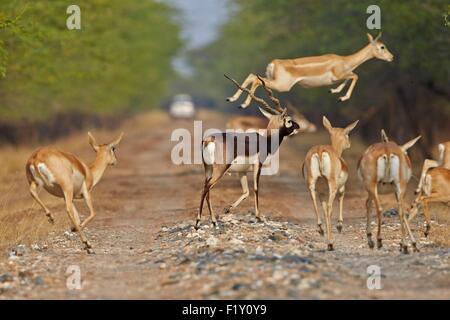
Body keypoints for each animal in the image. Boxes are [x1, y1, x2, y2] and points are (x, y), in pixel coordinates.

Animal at [195, 74, 300, 230]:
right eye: (289, 120)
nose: (298, 127)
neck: (266, 140)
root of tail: (209, 139)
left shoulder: (241, 171)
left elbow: (246, 192)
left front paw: (227, 209)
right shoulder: (258, 165)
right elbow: (256, 189)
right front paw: (258, 216)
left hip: (208, 169)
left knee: (206, 189)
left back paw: (213, 221)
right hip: (220, 170)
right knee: (206, 188)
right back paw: (198, 222)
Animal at [227, 31, 392, 108]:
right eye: (382, 47)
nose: (392, 57)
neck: (345, 61)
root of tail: (274, 63)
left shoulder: (342, 76)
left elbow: (350, 78)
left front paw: (334, 92)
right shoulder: (340, 75)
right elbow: (355, 76)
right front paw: (342, 97)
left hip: (271, 79)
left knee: (251, 75)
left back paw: (232, 99)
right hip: (281, 85)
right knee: (255, 80)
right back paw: (243, 104)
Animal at [302, 116, 358, 251]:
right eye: (347, 133)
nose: (349, 143)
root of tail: (319, 151)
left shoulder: (322, 193)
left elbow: (323, 210)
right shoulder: (341, 188)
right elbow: (341, 199)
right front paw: (339, 226)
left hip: (311, 184)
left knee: (315, 203)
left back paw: (321, 230)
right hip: (332, 186)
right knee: (329, 207)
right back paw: (331, 242)